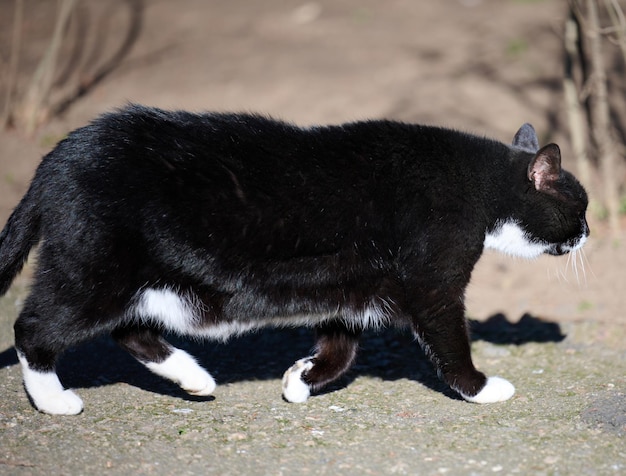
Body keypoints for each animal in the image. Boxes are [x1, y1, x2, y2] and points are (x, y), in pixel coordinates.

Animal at [0, 104, 584, 412]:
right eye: (578, 206)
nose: (587, 232)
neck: (479, 188)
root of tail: (56, 159)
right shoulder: (433, 280)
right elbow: (449, 340)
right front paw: (481, 388)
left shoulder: (352, 287)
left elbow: (341, 348)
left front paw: (302, 379)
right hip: (96, 269)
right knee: (34, 327)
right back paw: (54, 399)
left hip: (145, 281)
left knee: (129, 329)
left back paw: (193, 377)